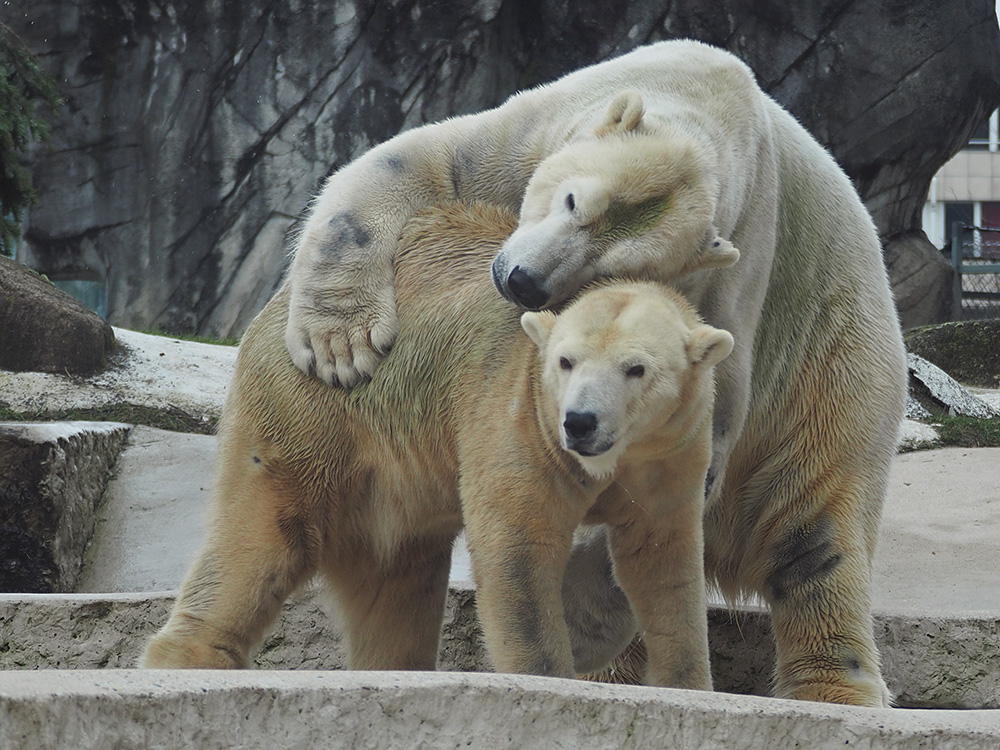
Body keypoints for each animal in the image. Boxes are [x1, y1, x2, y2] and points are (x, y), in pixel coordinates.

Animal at [139, 200, 736, 692]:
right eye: (565, 362)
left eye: (637, 369)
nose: (580, 422)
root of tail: (279, 301)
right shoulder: (520, 416)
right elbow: (518, 545)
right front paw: (547, 675)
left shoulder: (670, 454)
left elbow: (660, 561)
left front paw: (689, 684)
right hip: (310, 411)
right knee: (262, 535)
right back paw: (189, 659)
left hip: (395, 488)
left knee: (399, 586)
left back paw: (393, 666)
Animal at [280, 38, 908, 708]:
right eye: (574, 200)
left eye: (611, 272)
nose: (522, 281)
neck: (712, 107)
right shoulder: (533, 134)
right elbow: (417, 161)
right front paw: (339, 344)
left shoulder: (740, 269)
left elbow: (697, 425)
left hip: (836, 373)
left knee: (817, 536)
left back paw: (830, 687)